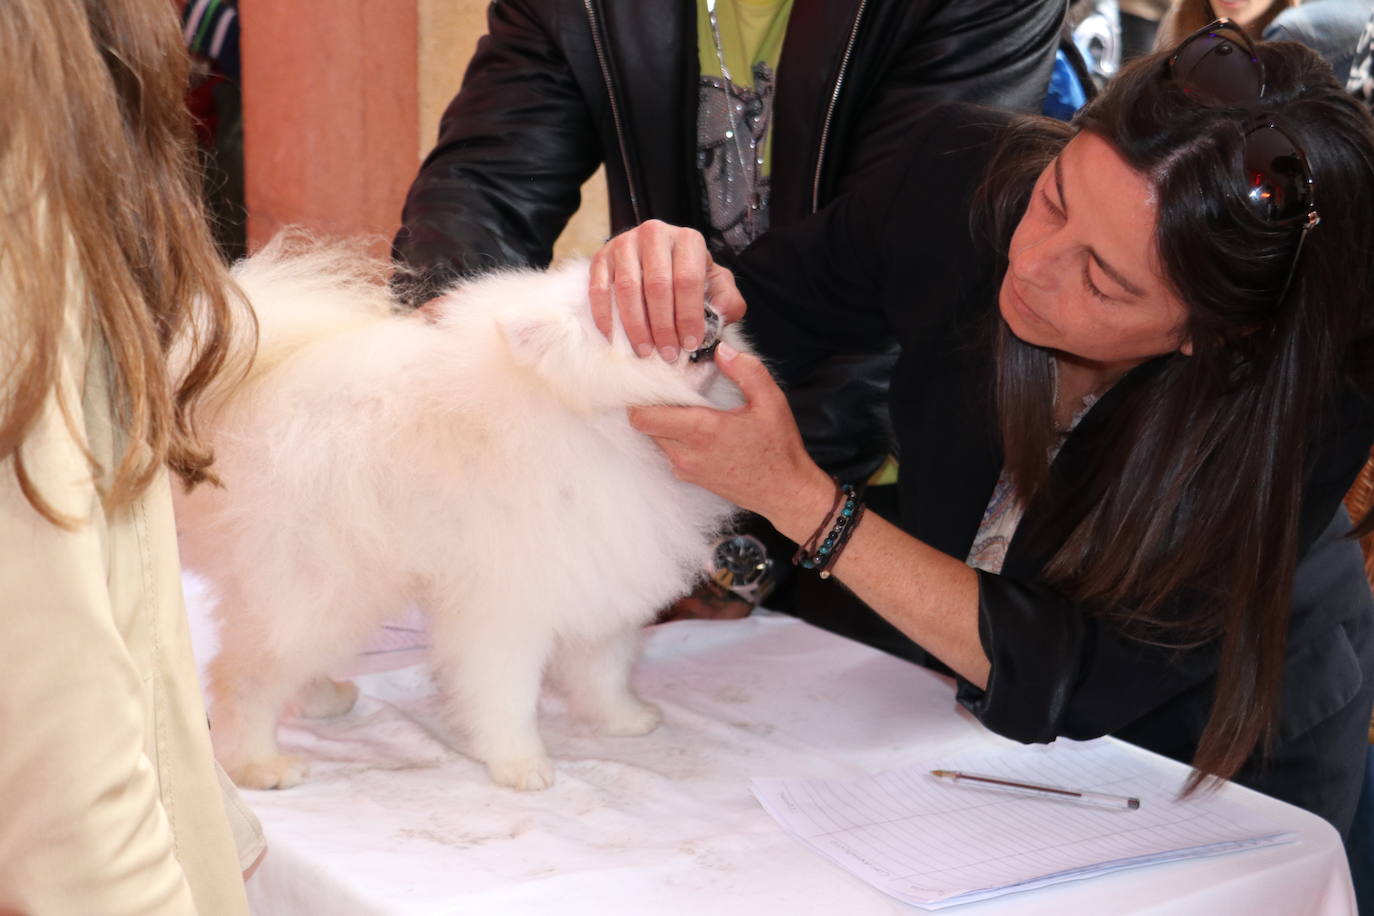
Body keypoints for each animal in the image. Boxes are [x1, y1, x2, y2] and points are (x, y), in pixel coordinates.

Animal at [177, 240, 747, 791]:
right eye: (642, 320)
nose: (707, 307)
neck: (586, 417)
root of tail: (234, 403)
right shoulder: (508, 601)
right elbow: (506, 695)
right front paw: (521, 764)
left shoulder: (599, 566)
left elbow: (605, 667)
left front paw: (623, 719)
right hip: (317, 579)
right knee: (245, 676)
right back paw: (259, 764)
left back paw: (322, 699)